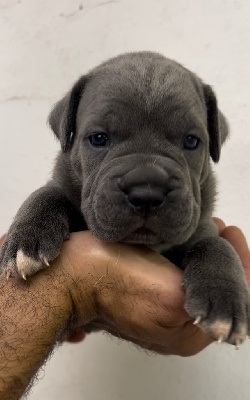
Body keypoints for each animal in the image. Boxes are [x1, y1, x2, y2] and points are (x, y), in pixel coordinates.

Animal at [0, 52, 249, 346]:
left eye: (191, 141)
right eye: (98, 138)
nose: (147, 193)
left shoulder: (201, 225)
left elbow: (216, 244)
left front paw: (224, 299)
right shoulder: (63, 183)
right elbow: (46, 193)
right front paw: (25, 242)